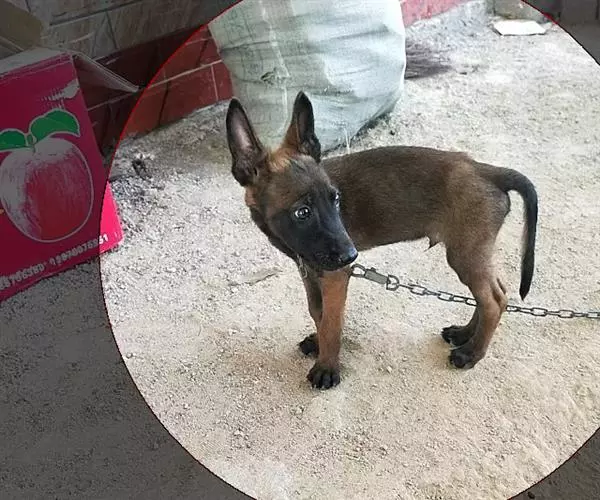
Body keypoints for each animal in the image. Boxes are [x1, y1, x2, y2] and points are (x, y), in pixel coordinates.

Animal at [225, 91, 538, 390]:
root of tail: (485, 169)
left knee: (494, 299)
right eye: (302, 212)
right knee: (492, 293)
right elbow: (318, 313)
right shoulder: (310, 270)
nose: (352, 255)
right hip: (470, 252)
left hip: (465, 253)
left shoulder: (335, 275)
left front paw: (327, 367)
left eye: (335, 199)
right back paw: (464, 334)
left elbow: (332, 322)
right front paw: (318, 341)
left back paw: (471, 353)